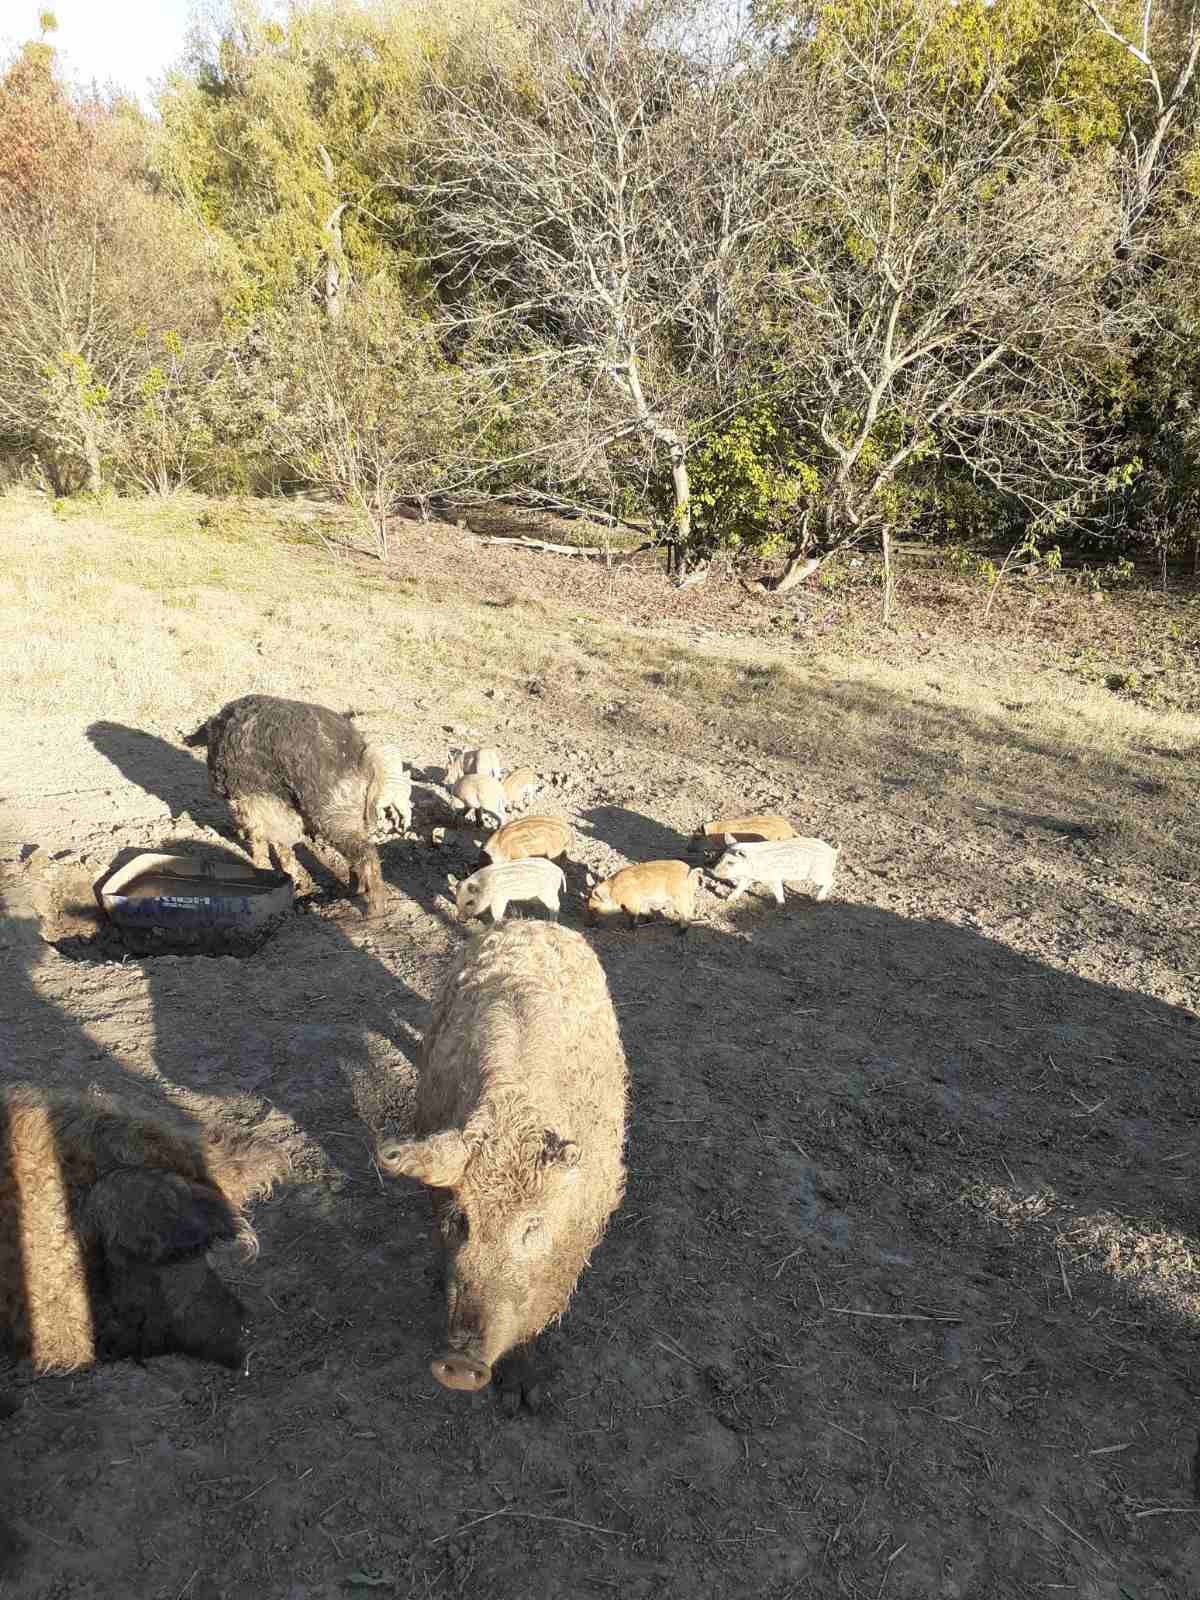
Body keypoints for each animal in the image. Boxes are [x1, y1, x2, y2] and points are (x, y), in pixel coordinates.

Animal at [377, 921, 630, 1408]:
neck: (513, 1121)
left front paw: (523, 1400)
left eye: (532, 1226)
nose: (460, 1364)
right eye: (461, 1220)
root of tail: (529, 922)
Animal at [710, 838, 838, 902]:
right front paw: (729, 899)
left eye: (731, 863)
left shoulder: (773, 878)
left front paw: (780, 905)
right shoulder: (749, 878)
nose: (713, 872)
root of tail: (833, 851)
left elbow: (778, 891)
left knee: (832, 881)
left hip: (818, 873)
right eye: (721, 858)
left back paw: (818, 899)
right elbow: (740, 887)